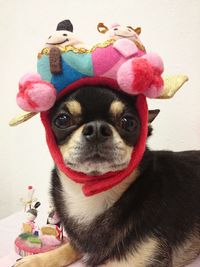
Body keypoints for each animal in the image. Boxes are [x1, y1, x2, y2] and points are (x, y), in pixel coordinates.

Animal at [14, 86, 200, 267]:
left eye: (128, 122)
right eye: (62, 120)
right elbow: (69, 247)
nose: (97, 128)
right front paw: (36, 260)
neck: (92, 194)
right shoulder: (84, 243)